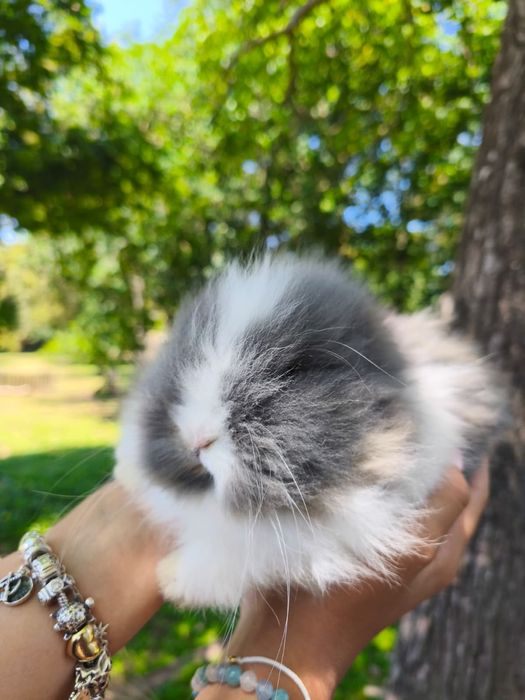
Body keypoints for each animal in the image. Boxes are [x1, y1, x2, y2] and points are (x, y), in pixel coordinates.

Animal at [114, 254, 501, 609]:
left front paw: (170, 578)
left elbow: (234, 559)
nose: (196, 438)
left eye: (293, 371)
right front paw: (125, 472)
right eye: (183, 359)